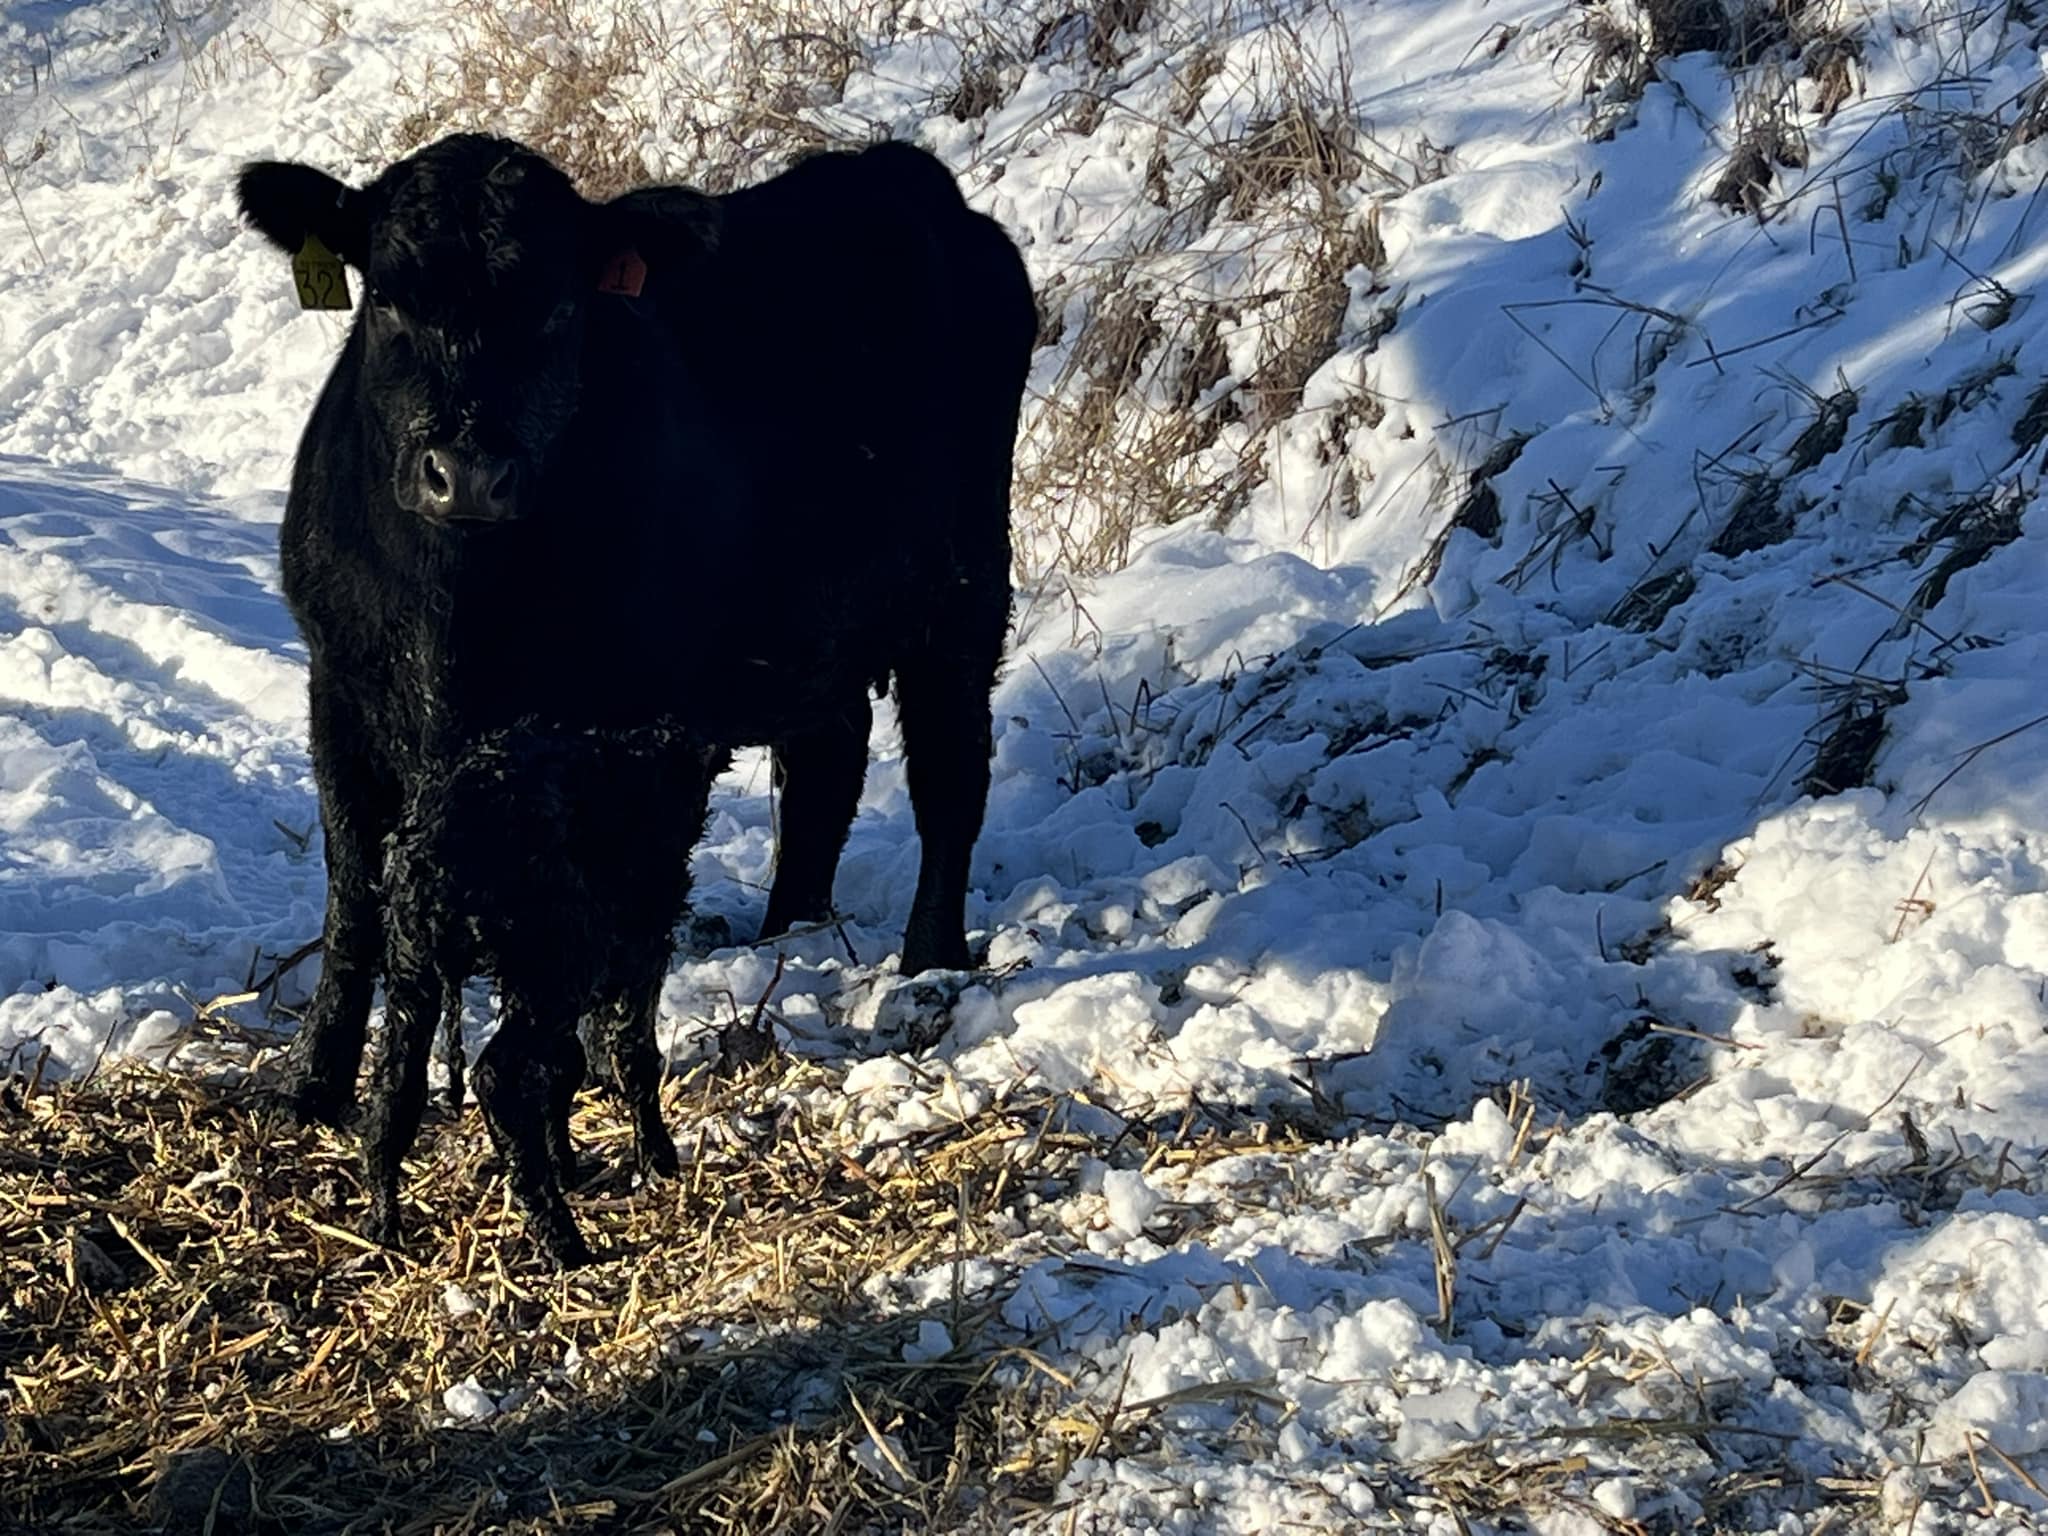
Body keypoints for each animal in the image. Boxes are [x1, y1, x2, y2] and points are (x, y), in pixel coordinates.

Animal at [237, 131, 1035, 1261]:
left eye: (561, 307)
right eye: (386, 298)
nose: (465, 473)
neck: (453, 615)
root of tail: (902, 174)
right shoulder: (339, 687)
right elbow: (351, 894)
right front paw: (310, 1088)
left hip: (961, 587)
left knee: (948, 774)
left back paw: (929, 965)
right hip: (811, 636)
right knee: (825, 765)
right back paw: (787, 935)